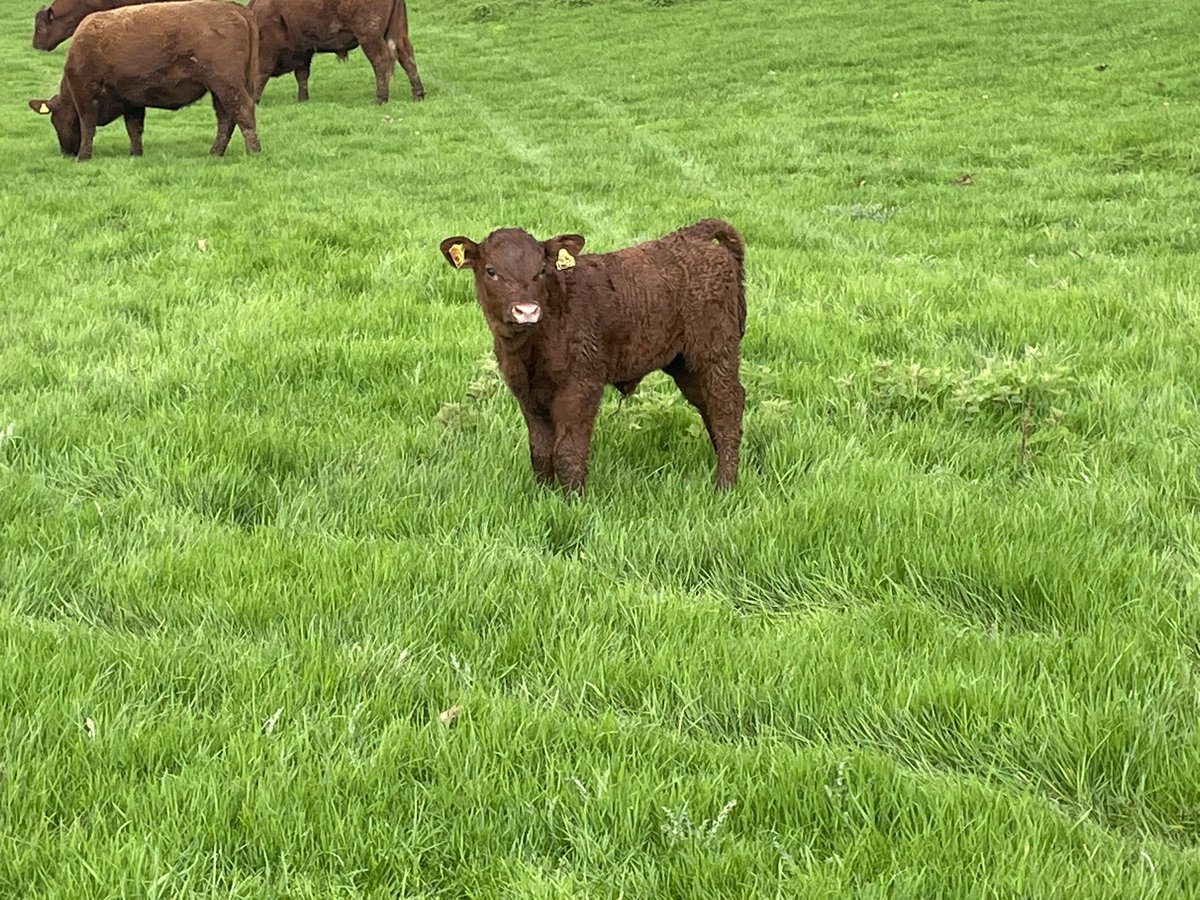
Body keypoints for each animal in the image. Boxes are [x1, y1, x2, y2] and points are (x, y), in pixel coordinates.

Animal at [248, 0, 424, 104]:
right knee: (407, 57)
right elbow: (302, 75)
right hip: (398, 33)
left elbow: (261, 74)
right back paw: (418, 94)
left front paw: (254, 99)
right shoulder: (304, 51)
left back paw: (380, 98)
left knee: (380, 60)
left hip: (369, 36)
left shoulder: (267, 50)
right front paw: (303, 100)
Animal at [438, 219, 747, 495]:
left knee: (727, 408)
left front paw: (573, 502)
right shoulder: (526, 393)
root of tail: (690, 235)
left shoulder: (581, 385)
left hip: (715, 349)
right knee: (709, 407)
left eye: (541, 270)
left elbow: (568, 451)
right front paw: (542, 496)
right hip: (685, 364)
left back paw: (725, 486)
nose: (526, 310)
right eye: (490, 271)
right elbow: (540, 451)